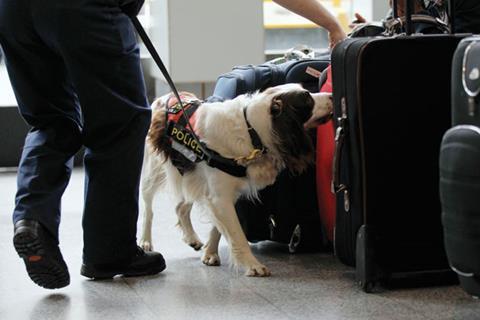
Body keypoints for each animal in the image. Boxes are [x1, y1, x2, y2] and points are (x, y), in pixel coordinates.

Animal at [141, 84, 332, 276]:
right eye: (307, 98)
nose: (331, 95)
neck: (252, 131)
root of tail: (163, 98)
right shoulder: (220, 196)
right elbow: (237, 234)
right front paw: (253, 265)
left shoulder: (223, 194)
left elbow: (218, 228)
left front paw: (210, 253)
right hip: (152, 173)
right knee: (148, 209)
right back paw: (145, 241)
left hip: (192, 177)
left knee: (181, 207)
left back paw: (191, 237)